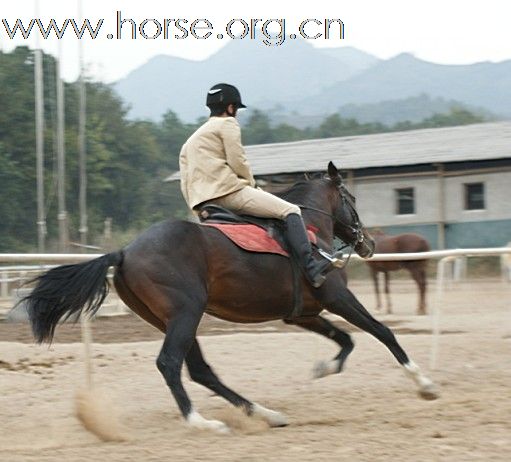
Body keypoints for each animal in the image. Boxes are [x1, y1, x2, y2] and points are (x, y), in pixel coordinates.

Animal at [24, 162, 438, 434]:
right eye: (350, 197)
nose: (368, 244)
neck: (308, 228)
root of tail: (124, 251)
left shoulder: (302, 314)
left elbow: (347, 339)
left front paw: (325, 368)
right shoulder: (337, 298)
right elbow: (382, 331)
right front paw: (424, 385)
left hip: (173, 319)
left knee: (199, 370)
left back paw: (265, 414)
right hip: (186, 313)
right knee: (171, 364)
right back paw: (202, 422)